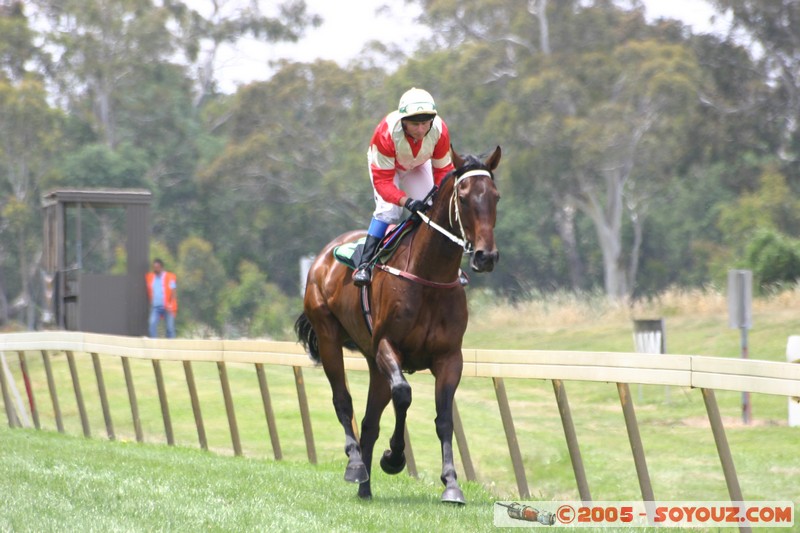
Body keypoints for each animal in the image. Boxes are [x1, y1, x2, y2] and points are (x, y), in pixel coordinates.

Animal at [294, 145, 500, 502]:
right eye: (462, 198)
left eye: (496, 196)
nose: (485, 256)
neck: (429, 276)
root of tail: (322, 257)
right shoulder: (388, 346)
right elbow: (403, 394)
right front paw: (393, 457)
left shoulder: (449, 357)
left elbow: (444, 418)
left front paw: (451, 484)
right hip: (330, 335)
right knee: (343, 401)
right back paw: (355, 464)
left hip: (372, 361)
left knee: (369, 421)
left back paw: (364, 486)